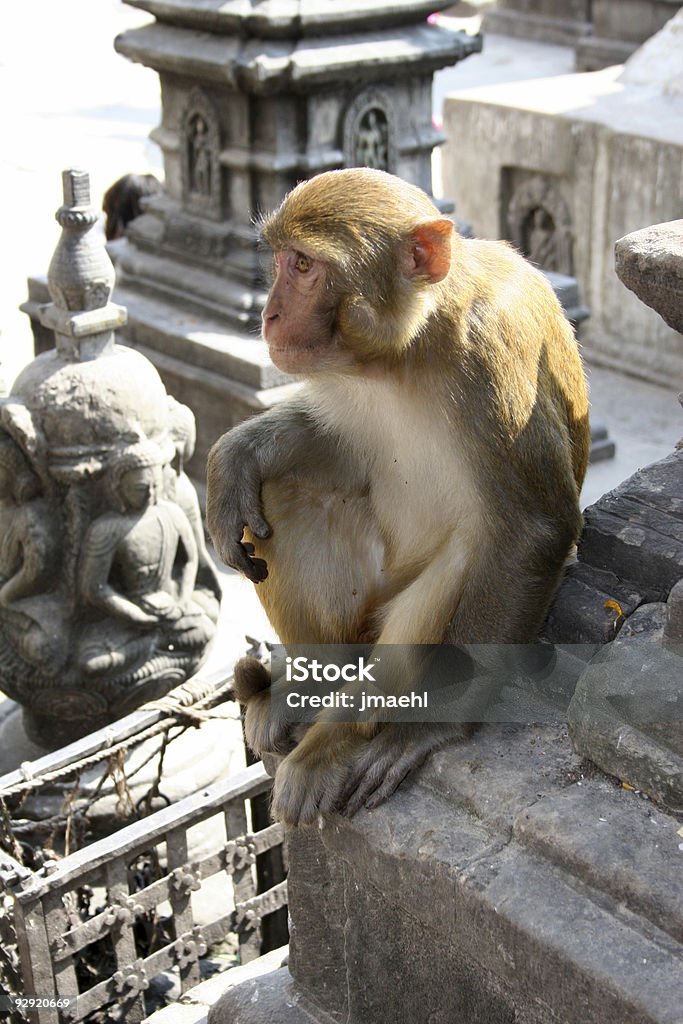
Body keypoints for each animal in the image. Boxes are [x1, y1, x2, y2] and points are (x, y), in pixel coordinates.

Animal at [205, 165, 589, 823]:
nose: (271, 317)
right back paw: (308, 684)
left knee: (461, 560)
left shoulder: (492, 358)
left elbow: (532, 531)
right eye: (281, 260)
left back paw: (334, 743)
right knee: (286, 492)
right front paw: (236, 455)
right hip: (358, 607)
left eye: (304, 265)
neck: (409, 349)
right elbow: (335, 446)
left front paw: (438, 724)